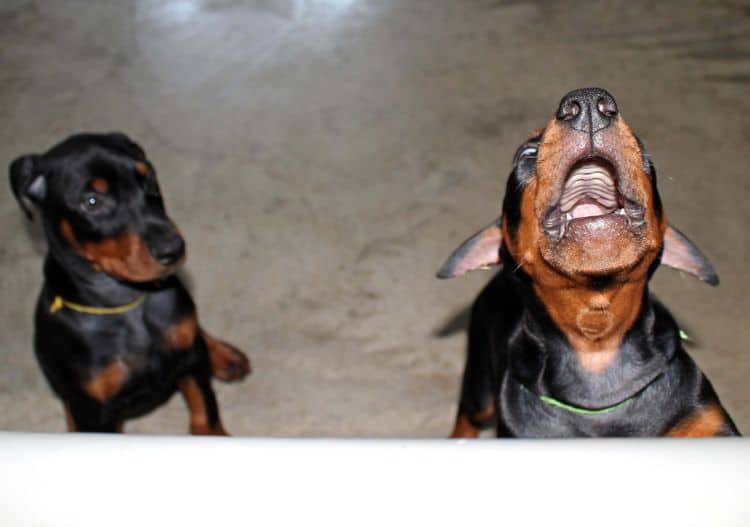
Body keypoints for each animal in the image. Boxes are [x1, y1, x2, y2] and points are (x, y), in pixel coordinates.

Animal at [8, 134, 251, 436]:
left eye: (149, 181)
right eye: (91, 202)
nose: (174, 249)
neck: (127, 302)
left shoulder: (190, 361)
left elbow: (205, 409)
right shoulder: (95, 411)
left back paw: (225, 355)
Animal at [440, 88, 740, 440]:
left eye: (642, 149)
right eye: (527, 153)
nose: (588, 104)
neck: (597, 350)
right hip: (480, 377)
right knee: (468, 413)